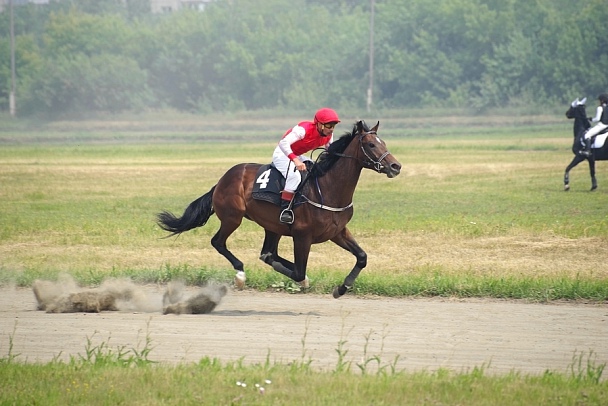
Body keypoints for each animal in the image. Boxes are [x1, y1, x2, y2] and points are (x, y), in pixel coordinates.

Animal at [159, 120, 402, 298]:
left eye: (383, 142)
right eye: (371, 145)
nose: (395, 166)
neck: (327, 188)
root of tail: (221, 180)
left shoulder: (337, 232)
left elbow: (362, 257)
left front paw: (342, 288)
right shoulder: (302, 236)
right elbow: (299, 272)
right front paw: (306, 280)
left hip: (272, 226)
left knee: (267, 253)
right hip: (232, 218)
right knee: (218, 242)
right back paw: (240, 274)